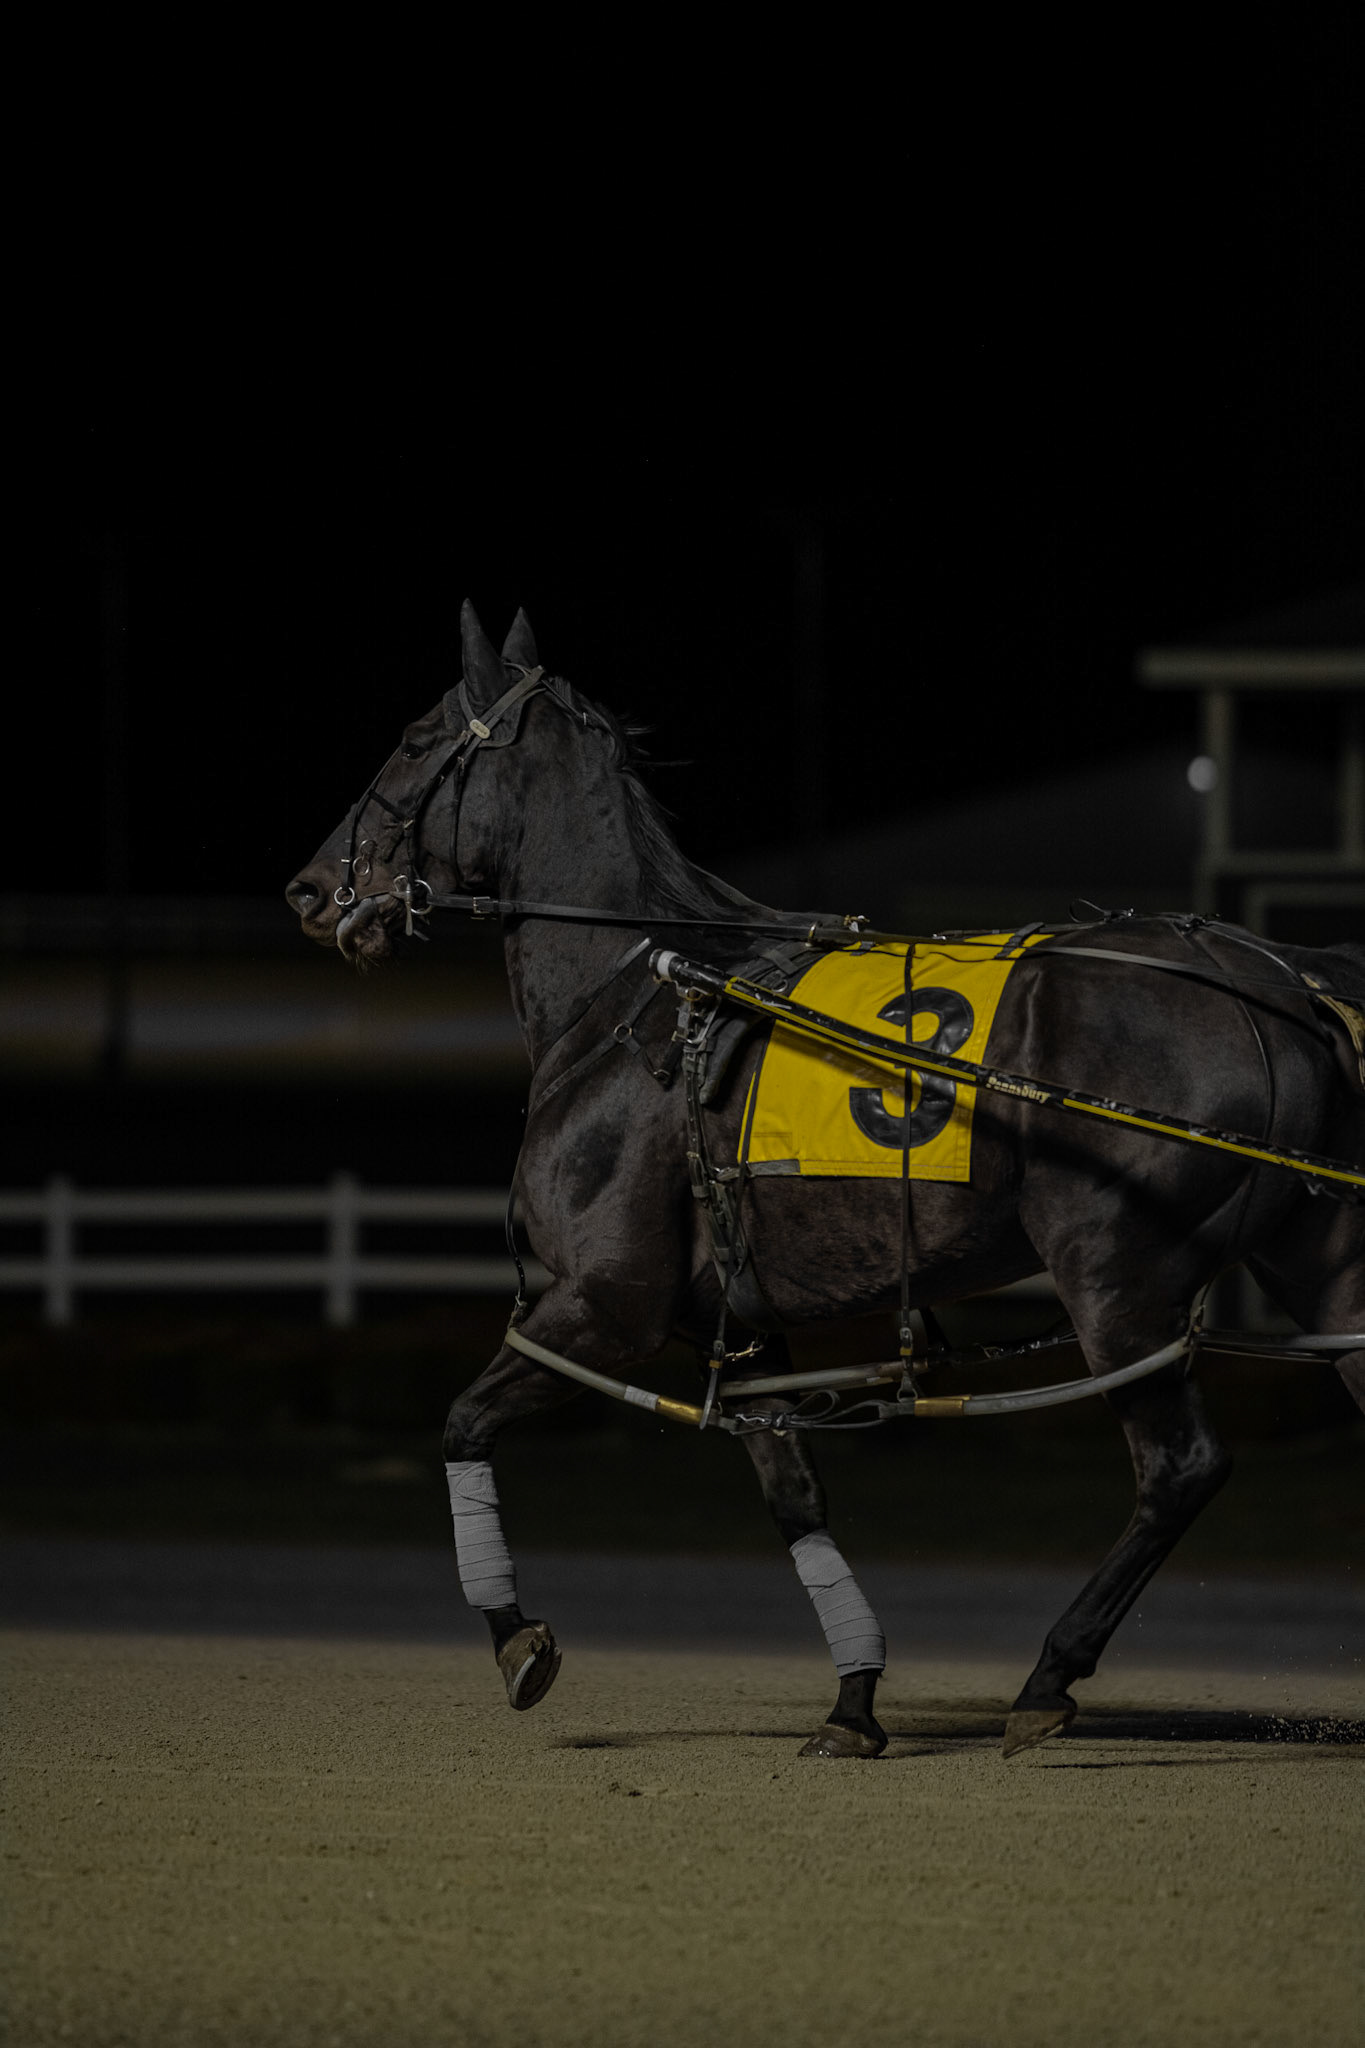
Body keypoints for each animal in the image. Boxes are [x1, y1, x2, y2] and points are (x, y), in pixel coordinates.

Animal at [286, 601, 1365, 1759]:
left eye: (410, 738)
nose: (308, 888)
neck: (643, 995)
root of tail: (1285, 981)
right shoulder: (741, 1333)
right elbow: (794, 1494)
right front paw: (853, 1698)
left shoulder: (603, 1303)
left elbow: (464, 1422)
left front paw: (516, 1637)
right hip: (1317, 1268)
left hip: (1117, 1274)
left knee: (1180, 1468)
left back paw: (1048, 1676)